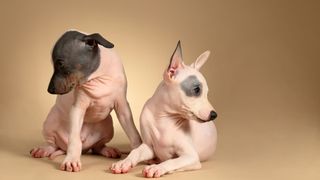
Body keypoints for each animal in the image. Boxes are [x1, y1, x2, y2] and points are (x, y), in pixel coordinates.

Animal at [29, 30, 141, 172]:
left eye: (60, 63)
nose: (50, 90)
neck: (98, 78)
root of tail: (85, 146)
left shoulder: (123, 107)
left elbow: (133, 133)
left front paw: (139, 150)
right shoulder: (77, 108)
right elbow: (74, 140)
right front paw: (71, 160)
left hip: (108, 124)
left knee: (97, 147)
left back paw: (107, 150)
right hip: (50, 121)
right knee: (53, 144)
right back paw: (43, 150)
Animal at [110, 40, 218, 177]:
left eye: (207, 93)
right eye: (197, 90)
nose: (214, 114)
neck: (164, 119)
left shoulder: (191, 157)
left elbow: (172, 161)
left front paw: (157, 168)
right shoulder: (149, 147)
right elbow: (135, 152)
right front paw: (124, 162)